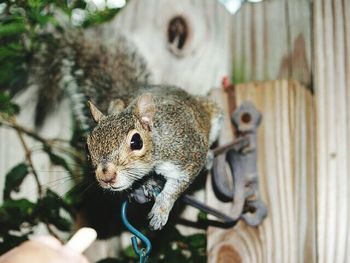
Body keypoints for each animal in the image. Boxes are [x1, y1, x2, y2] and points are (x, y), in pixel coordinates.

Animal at [30, 30, 221, 231]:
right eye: (87, 149)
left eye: (136, 142)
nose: (106, 176)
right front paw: (140, 188)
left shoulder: (187, 152)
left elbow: (177, 185)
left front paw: (161, 210)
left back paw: (209, 156)